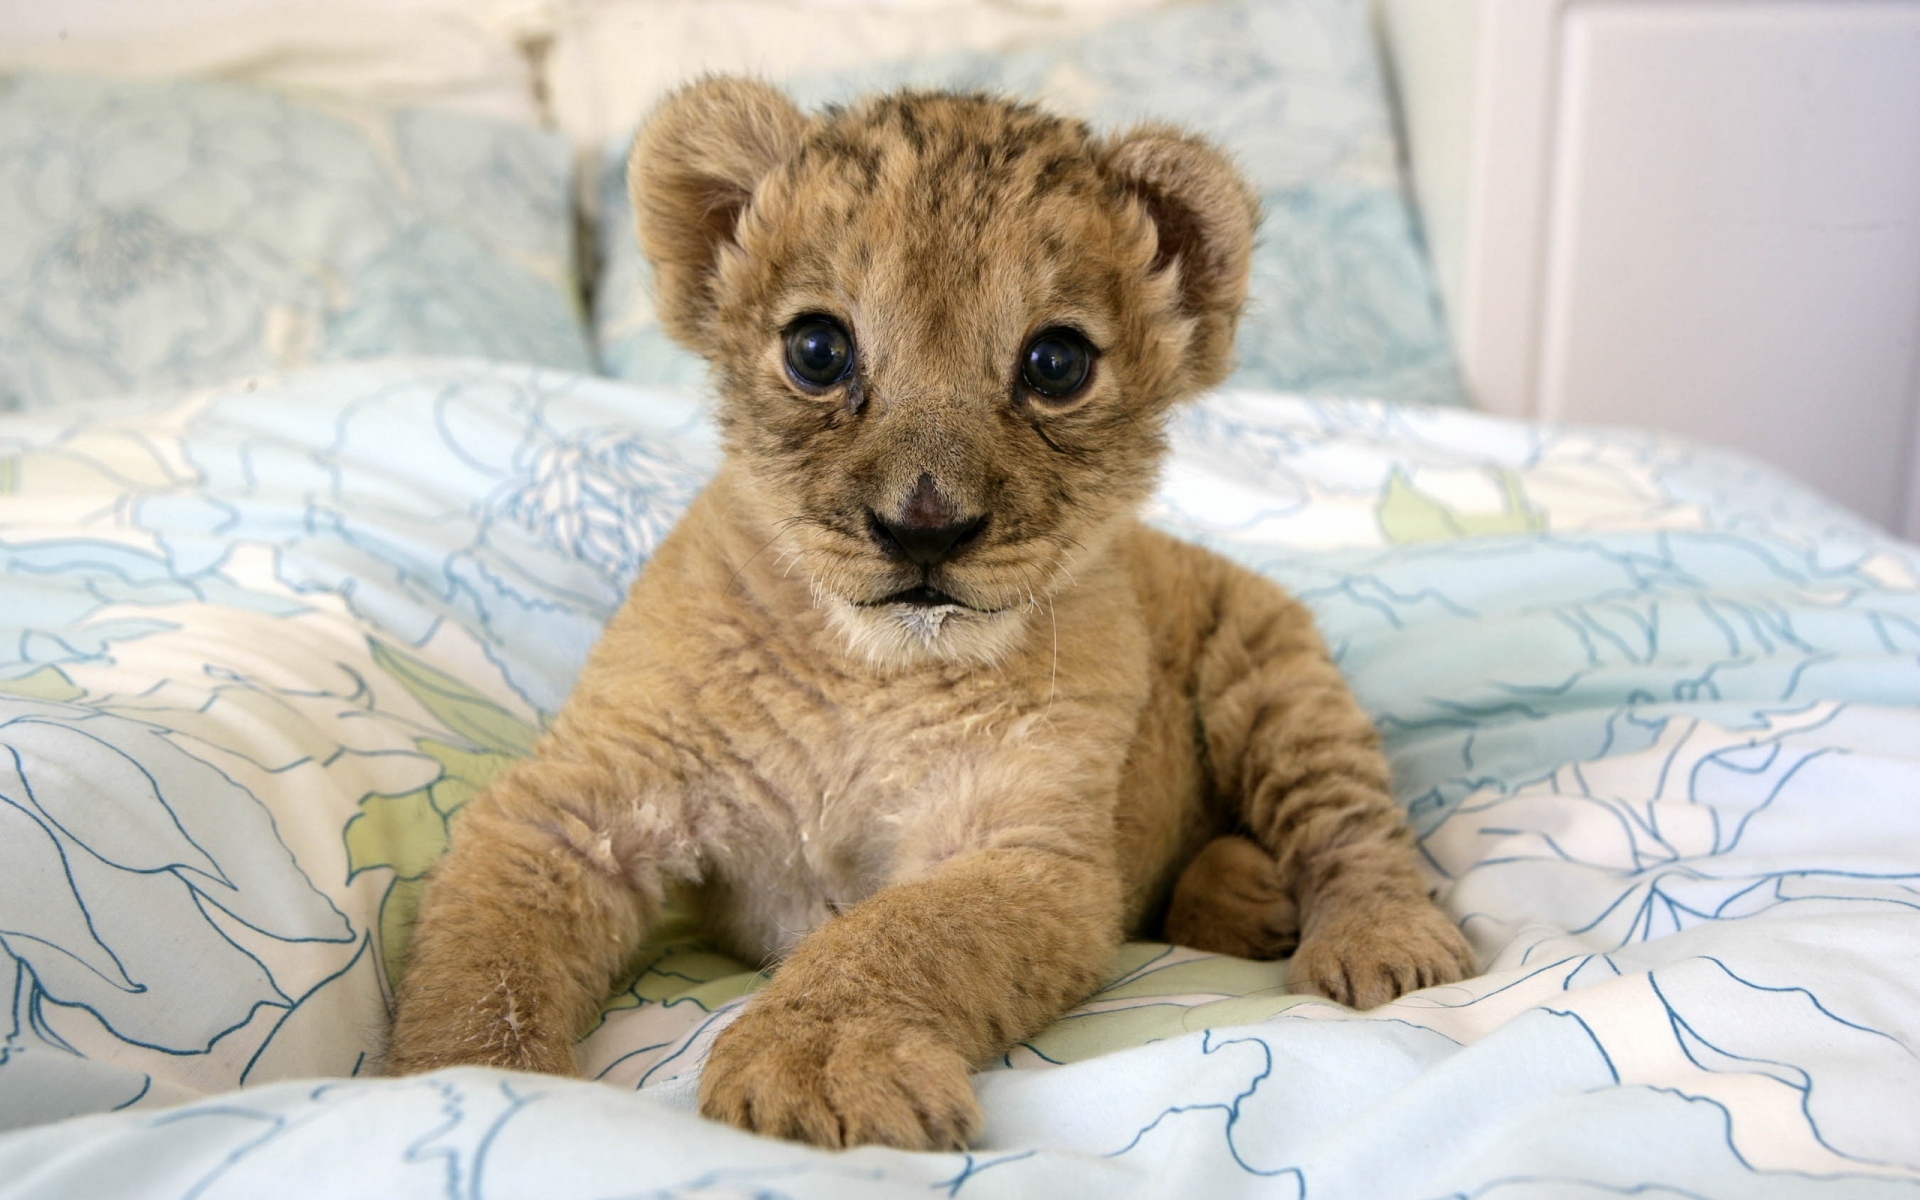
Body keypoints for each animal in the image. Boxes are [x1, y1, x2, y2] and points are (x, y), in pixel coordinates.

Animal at [387, 78, 1475, 1151]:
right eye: (817, 350)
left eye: (1056, 364)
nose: (924, 527)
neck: (868, 673)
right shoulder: (578, 808)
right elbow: (484, 970)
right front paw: (474, 1089)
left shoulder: (1029, 852)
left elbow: (899, 935)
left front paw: (815, 1069)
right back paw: (1245, 896)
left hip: (1278, 679)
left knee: (1352, 824)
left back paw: (1379, 945)